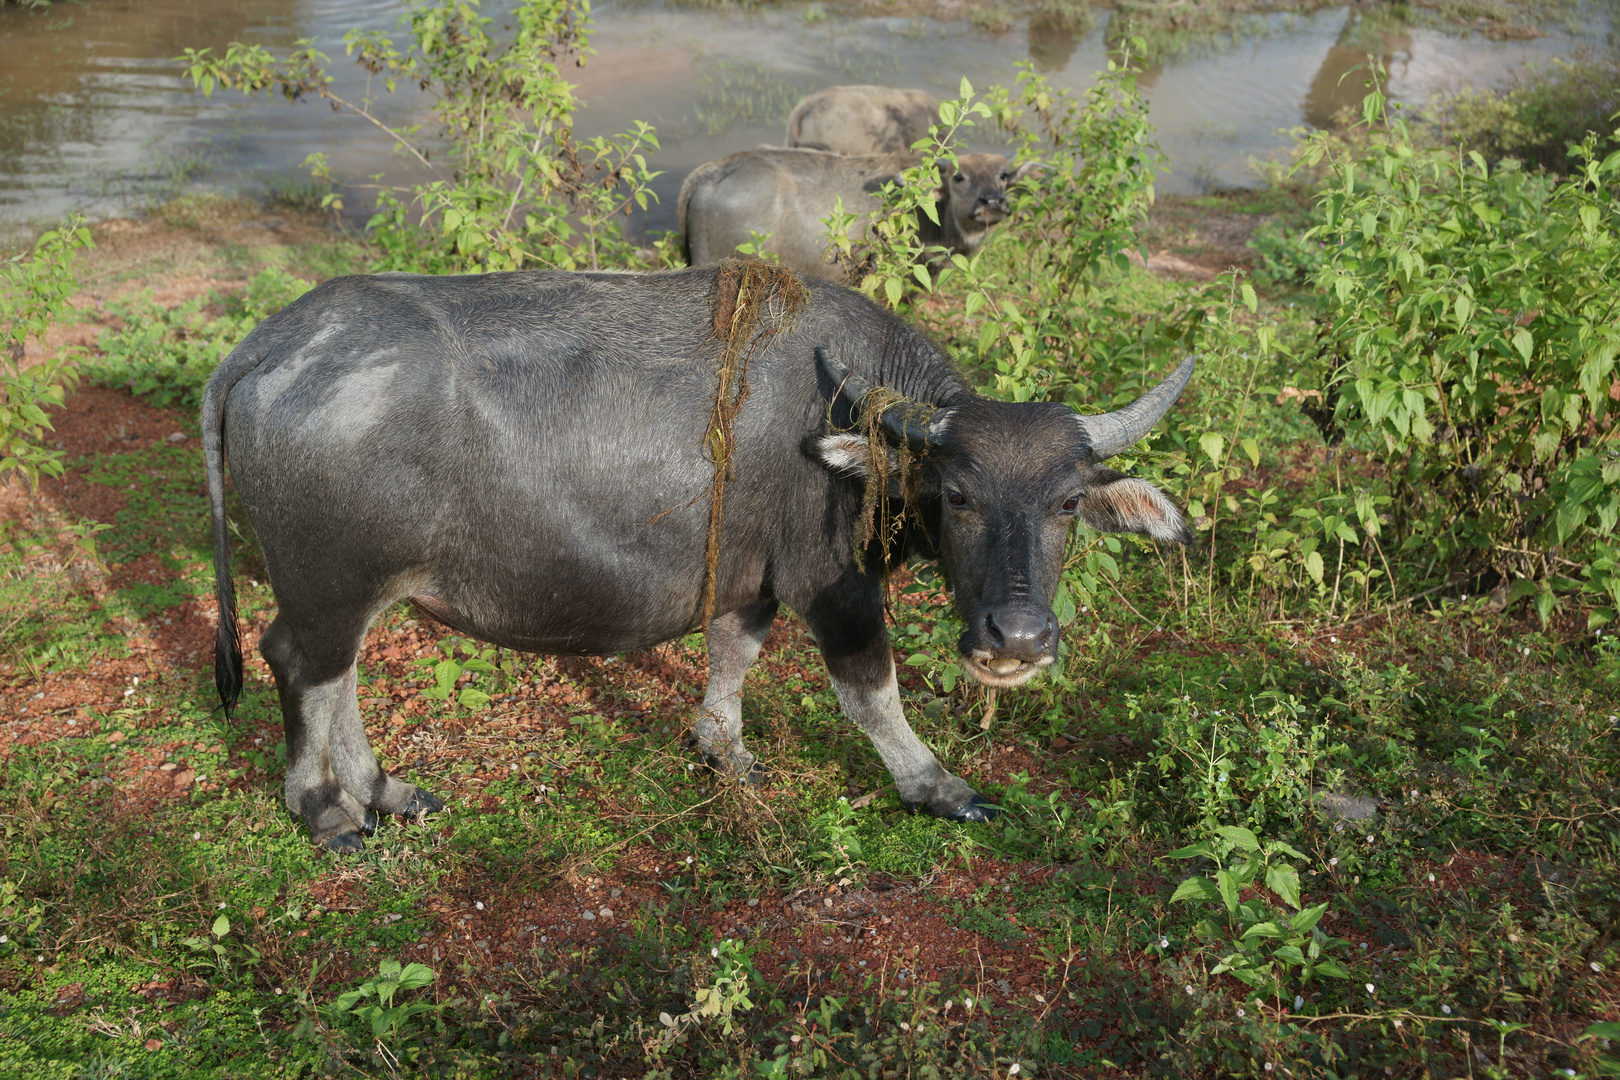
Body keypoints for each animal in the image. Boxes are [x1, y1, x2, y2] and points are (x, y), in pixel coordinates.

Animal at [202, 263, 1192, 854]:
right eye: (957, 495)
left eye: (1067, 502)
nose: (1016, 639)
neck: (857, 428)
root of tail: (274, 342)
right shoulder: (831, 586)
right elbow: (871, 691)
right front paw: (937, 785)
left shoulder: (748, 578)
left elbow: (733, 652)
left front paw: (722, 747)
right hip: (328, 585)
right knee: (296, 664)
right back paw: (325, 810)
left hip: (356, 589)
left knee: (340, 676)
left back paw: (385, 789)